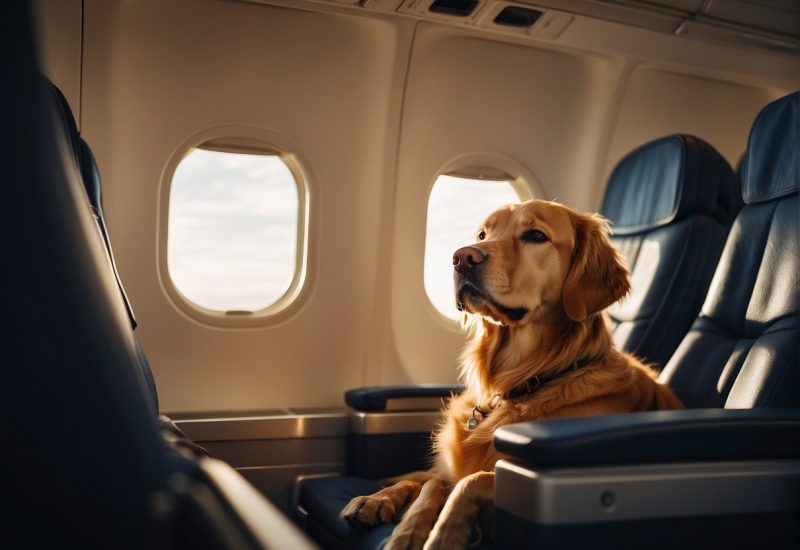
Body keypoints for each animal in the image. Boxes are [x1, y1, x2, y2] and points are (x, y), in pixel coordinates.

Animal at [340, 201, 684, 548]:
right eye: (483, 234)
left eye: (536, 235)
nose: (462, 257)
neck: (525, 381)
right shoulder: (444, 470)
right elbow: (427, 481)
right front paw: (384, 507)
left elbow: (472, 480)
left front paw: (441, 535)